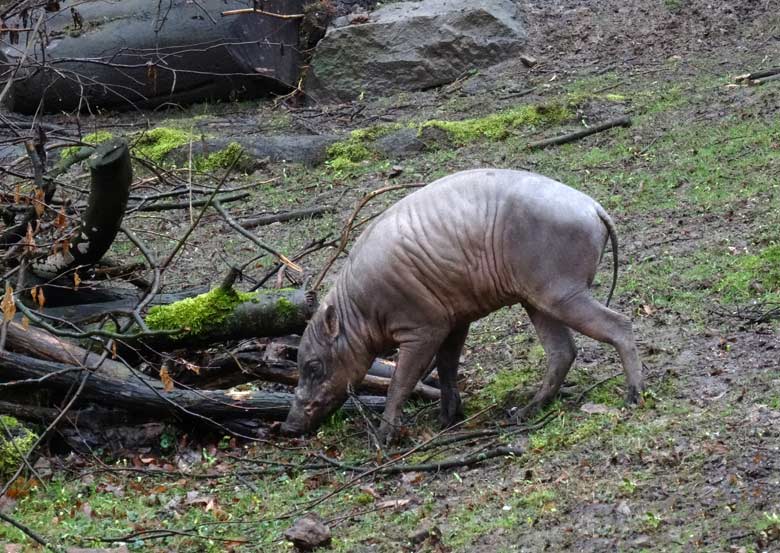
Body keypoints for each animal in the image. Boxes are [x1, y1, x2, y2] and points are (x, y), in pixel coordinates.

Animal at [284, 167, 644, 440]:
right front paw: (449, 417)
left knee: (619, 325)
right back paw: (528, 410)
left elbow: (401, 382)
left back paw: (633, 395)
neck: (358, 312)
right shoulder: (455, 320)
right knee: (562, 352)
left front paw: (385, 435)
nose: (288, 426)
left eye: (313, 366)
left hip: (561, 292)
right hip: (537, 299)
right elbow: (447, 367)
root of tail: (594, 207)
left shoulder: (423, 328)